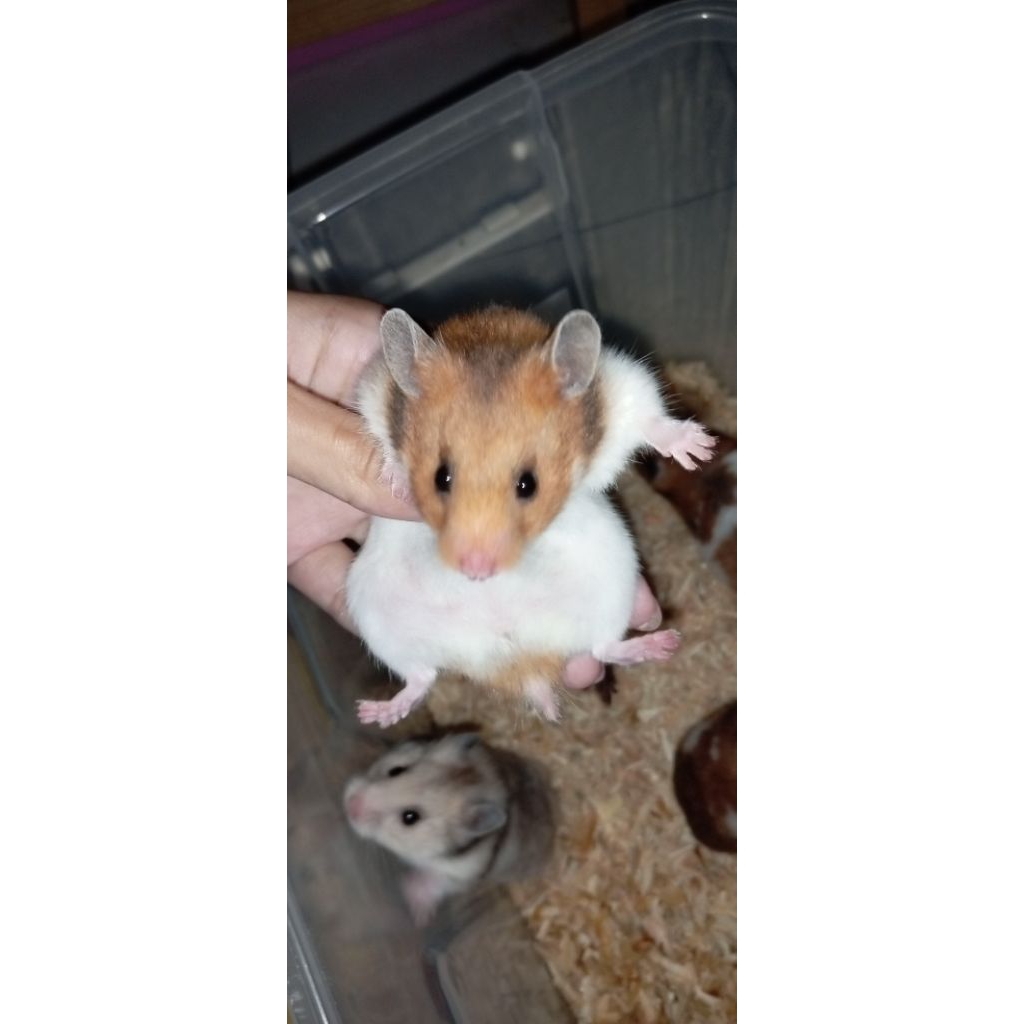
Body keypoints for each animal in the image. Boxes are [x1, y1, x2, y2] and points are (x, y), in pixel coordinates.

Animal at [343, 731, 555, 925]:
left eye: (410, 817)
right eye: (396, 770)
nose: (351, 804)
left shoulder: (460, 872)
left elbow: (438, 883)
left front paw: (415, 904)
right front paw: (360, 743)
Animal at [346, 306, 716, 727]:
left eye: (529, 484)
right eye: (441, 477)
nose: (477, 573)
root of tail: (519, 660)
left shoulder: (623, 387)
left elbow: (650, 419)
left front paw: (700, 450)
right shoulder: (373, 390)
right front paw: (395, 482)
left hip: (614, 580)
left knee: (605, 646)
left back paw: (664, 643)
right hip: (374, 612)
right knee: (420, 677)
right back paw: (374, 713)